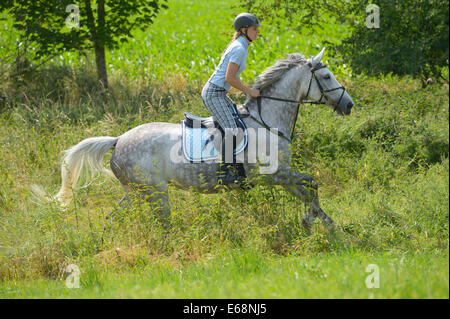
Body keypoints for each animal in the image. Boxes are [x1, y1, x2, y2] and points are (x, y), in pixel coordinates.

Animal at [53, 48, 356, 228]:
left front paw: (320, 221)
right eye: (326, 76)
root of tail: (118, 140)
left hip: (135, 191)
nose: (349, 105)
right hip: (154, 191)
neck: (268, 122)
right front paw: (312, 220)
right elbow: (312, 182)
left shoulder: (282, 175)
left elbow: (307, 190)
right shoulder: (272, 175)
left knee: (114, 217)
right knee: (163, 223)